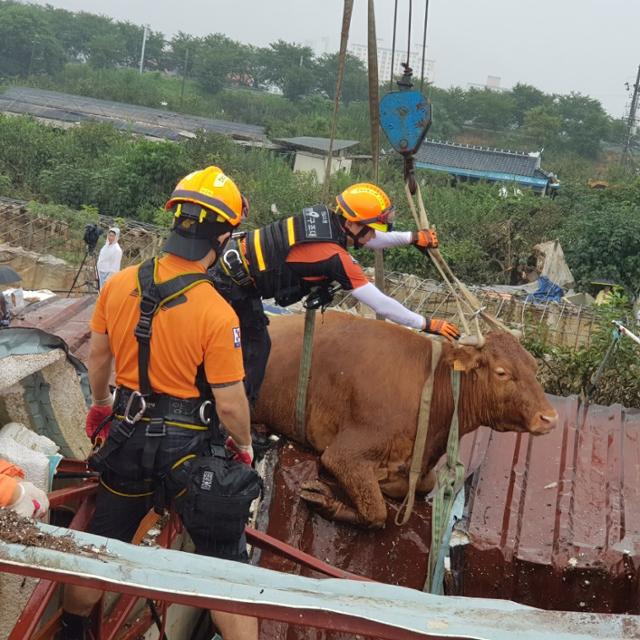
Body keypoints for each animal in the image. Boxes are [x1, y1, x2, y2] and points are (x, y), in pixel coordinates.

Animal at [252, 312, 556, 528]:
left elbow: (421, 484)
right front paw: (323, 499)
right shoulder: (344, 454)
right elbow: (376, 513)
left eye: (533, 365)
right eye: (502, 372)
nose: (550, 418)